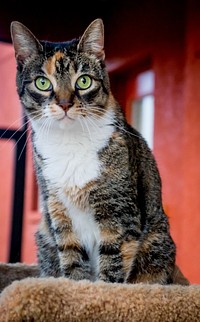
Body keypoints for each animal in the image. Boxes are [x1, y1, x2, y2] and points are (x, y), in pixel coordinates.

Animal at [10, 18, 177, 284]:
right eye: (42, 83)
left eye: (84, 81)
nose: (65, 103)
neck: (70, 143)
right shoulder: (57, 208)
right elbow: (71, 254)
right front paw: (76, 288)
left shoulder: (118, 209)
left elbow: (113, 258)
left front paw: (103, 290)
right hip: (43, 234)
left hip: (157, 242)